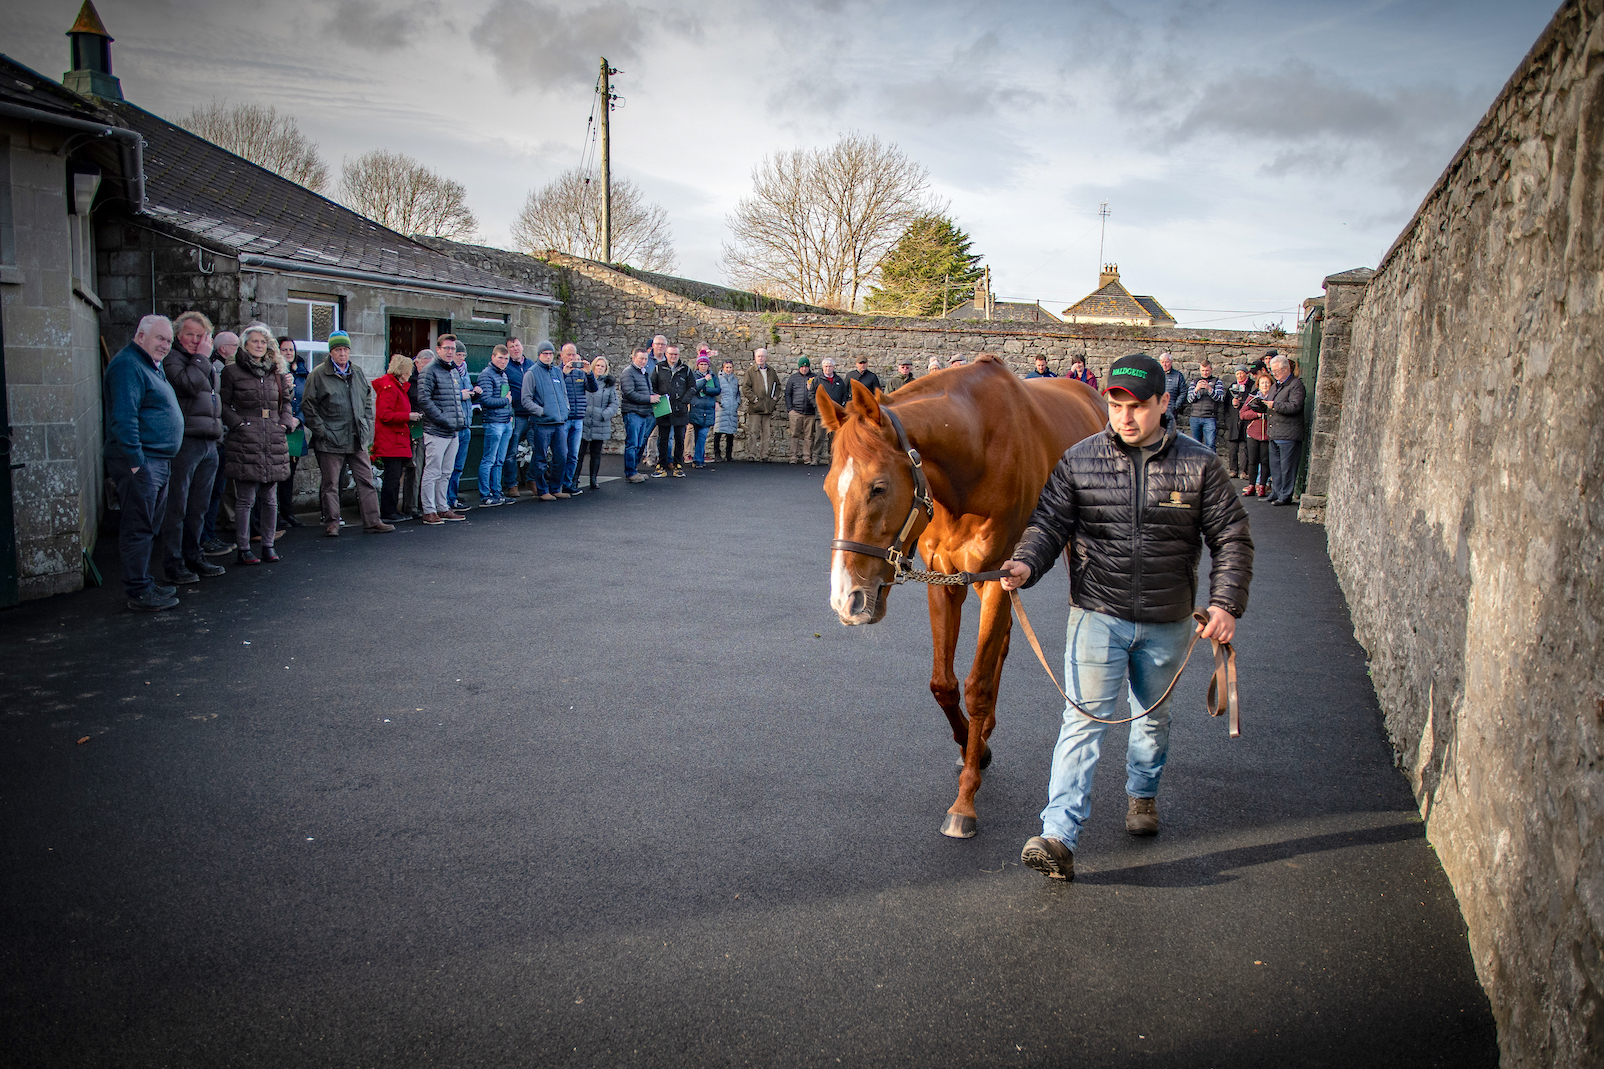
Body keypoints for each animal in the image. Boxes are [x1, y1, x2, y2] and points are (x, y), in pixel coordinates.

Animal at [821, 359, 1109, 841]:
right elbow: (945, 684)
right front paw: (975, 747)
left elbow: (977, 687)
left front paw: (965, 801)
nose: (848, 599)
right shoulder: (947, 580)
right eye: (828, 489)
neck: (974, 455)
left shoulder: (998, 581)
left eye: (878, 487)